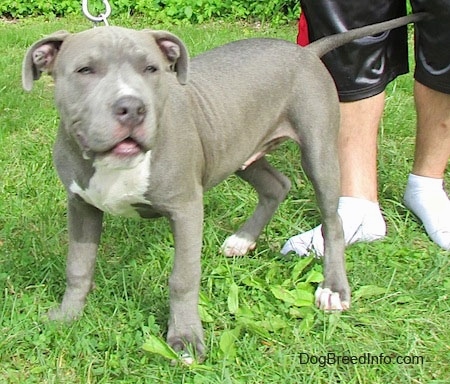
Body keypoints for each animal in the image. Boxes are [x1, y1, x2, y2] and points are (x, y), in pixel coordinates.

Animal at [22, 13, 428, 362]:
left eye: (151, 69)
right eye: (85, 70)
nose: (132, 108)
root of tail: (306, 51)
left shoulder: (186, 209)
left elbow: (183, 278)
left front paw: (185, 340)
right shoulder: (81, 205)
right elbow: (78, 266)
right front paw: (67, 316)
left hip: (319, 151)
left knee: (333, 221)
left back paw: (333, 289)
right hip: (238, 150)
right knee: (277, 185)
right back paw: (243, 240)